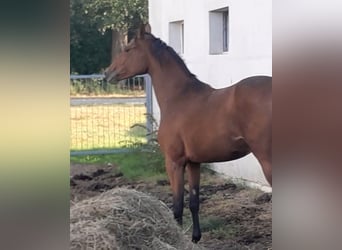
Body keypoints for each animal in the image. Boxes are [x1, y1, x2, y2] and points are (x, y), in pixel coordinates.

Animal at [105, 24, 272, 243]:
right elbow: (193, 202)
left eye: (127, 49)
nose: (107, 73)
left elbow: (177, 206)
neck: (179, 96)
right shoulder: (194, 162)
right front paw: (195, 238)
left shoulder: (174, 162)